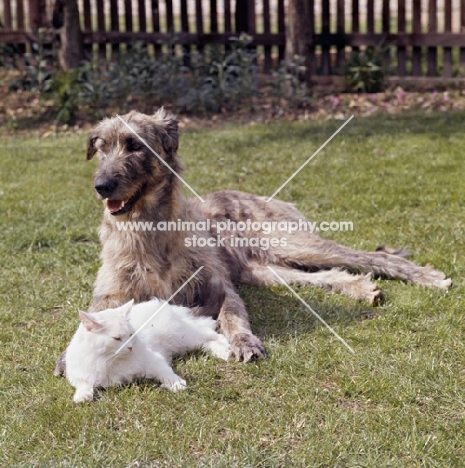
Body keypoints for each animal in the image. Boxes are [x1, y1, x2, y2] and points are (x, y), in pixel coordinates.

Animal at [55, 108, 450, 372]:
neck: (149, 229)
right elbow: (91, 317)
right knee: (325, 276)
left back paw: (425, 277)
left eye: (135, 145)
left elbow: (232, 317)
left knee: (367, 256)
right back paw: (361, 289)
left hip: (290, 243)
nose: (102, 186)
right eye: (101, 147)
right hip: (263, 270)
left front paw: (244, 342)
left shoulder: (218, 286)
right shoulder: (110, 293)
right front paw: (70, 354)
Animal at [64, 300, 231, 402]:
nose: (130, 347)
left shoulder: (154, 361)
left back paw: (228, 351)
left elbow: (167, 374)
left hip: (185, 337)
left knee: (212, 334)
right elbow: (83, 383)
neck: (109, 360)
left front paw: (177, 385)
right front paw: (82, 397)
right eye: (117, 338)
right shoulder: (77, 373)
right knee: (206, 342)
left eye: (131, 335)